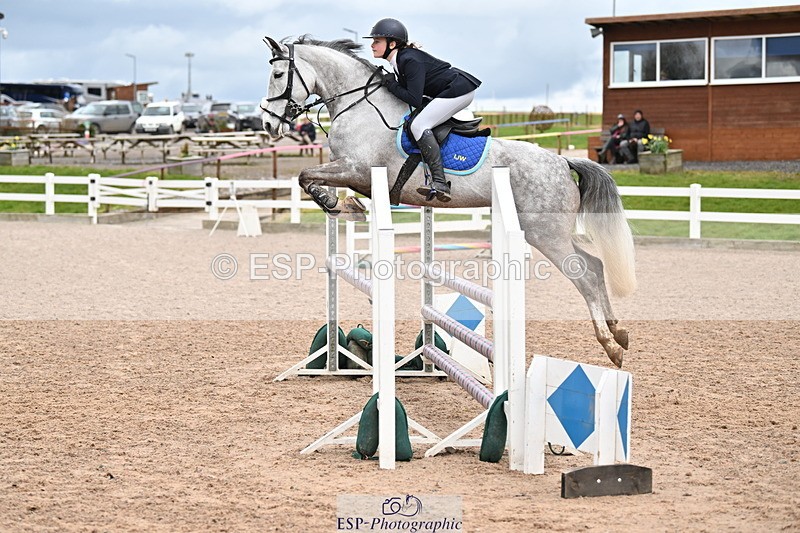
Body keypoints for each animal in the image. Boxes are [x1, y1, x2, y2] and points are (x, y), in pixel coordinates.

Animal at [259, 36, 636, 368]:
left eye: (277, 75)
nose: (267, 124)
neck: (359, 107)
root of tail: (562, 161)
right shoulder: (349, 171)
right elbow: (309, 177)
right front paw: (341, 204)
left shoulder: (356, 168)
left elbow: (305, 175)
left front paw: (336, 203)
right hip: (551, 231)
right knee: (595, 265)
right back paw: (618, 331)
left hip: (544, 233)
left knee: (583, 276)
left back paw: (610, 345)